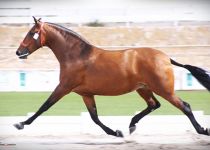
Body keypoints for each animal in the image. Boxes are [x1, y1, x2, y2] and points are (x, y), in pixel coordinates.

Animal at [13, 16, 209, 137]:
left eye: (32, 33)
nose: (18, 52)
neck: (76, 56)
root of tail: (166, 57)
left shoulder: (64, 87)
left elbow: (44, 106)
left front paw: (21, 123)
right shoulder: (86, 94)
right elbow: (94, 117)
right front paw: (116, 132)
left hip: (164, 90)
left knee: (185, 106)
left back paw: (202, 130)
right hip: (144, 89)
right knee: (154, 105)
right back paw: (131, 125)